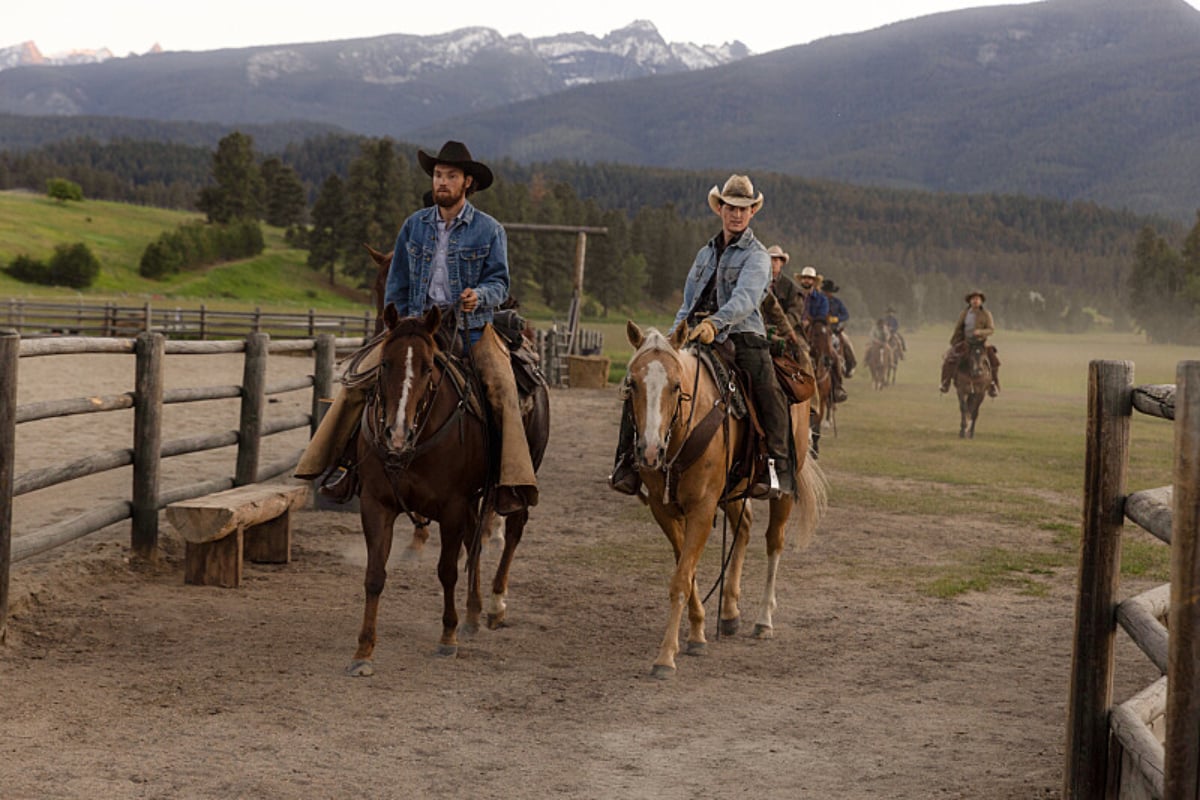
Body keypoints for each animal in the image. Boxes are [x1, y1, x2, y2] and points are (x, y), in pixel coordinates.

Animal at [348, 304, 552, 676]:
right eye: (384, 363)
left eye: (428, 367)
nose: (396, 433)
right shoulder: (376, 503)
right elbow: (374, 574)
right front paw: (363, 651)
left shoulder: (453, 507)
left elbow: (447, 571)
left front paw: (448, 637)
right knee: (476, 543)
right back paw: (473, 613)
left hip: (519, 479)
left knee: (512, 533)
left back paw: (495, 606)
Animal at [619, 321, 825, 681]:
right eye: (632, 383)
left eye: (676, 386)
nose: (649, 451)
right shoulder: (664, 510)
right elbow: (687, 571)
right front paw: (698, 632)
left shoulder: (702, 509)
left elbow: (681, 579)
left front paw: (665, 657)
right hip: (732, 490)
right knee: (743, 528)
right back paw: (729, 613)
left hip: (784, 487)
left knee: (774, 541)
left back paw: (763, 620)